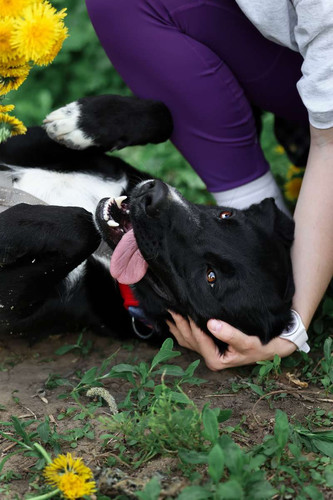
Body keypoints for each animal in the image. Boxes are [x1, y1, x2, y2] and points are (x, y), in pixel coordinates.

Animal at [0, 95, 294, 350]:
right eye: (225, 215)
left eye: (211, 277)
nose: (154, 196)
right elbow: (164, 115)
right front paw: (78, 123)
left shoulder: (12, 313)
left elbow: (82, 226)